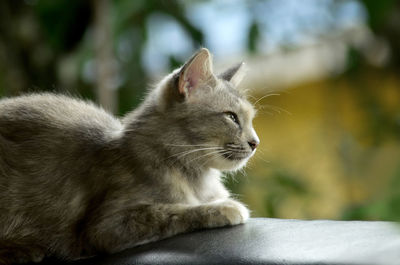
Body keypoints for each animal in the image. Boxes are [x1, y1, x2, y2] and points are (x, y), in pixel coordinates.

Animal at [0, 47, 260, 262]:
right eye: (231, 117)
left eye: (249, 120)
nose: (255, 142)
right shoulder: (106, 226)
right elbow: (172, 211)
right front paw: (225, 207)